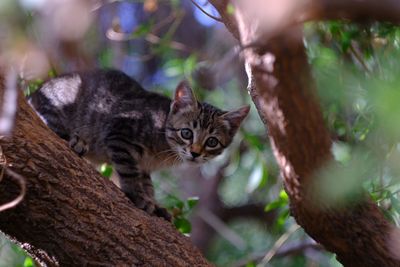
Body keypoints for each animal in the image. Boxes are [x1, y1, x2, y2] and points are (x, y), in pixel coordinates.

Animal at [30, 69, 250, 222]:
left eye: (211, 141)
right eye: (186, 133)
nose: (195, 153)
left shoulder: (143, 166)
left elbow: (147, 184)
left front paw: (154, 204)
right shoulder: (119, 132)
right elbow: (129, 172)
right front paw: (138, 195)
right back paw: (75, 140)